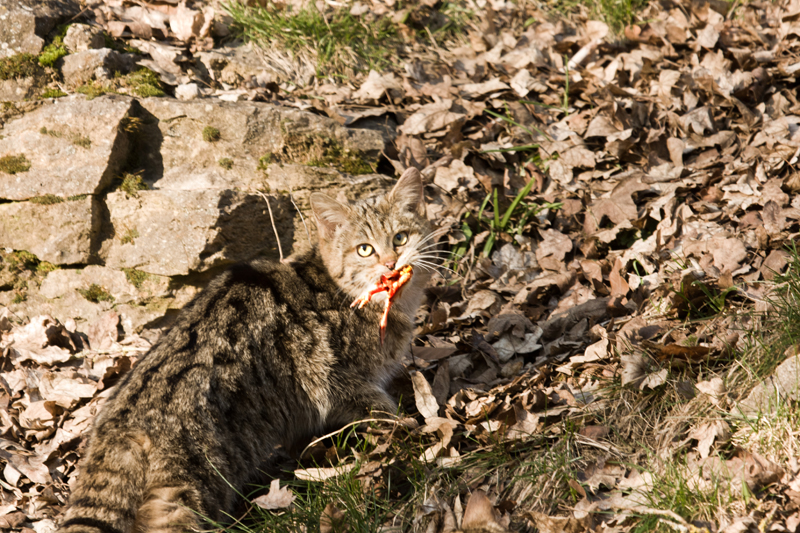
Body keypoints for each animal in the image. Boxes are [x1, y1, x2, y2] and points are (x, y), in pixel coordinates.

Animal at [59, 168, 434, 532]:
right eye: (364, 249)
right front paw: (407, 430)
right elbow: (381, 410)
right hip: (190, 483)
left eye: (400, 238)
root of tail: (120, 425)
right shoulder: (337, 378)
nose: (391, 262)